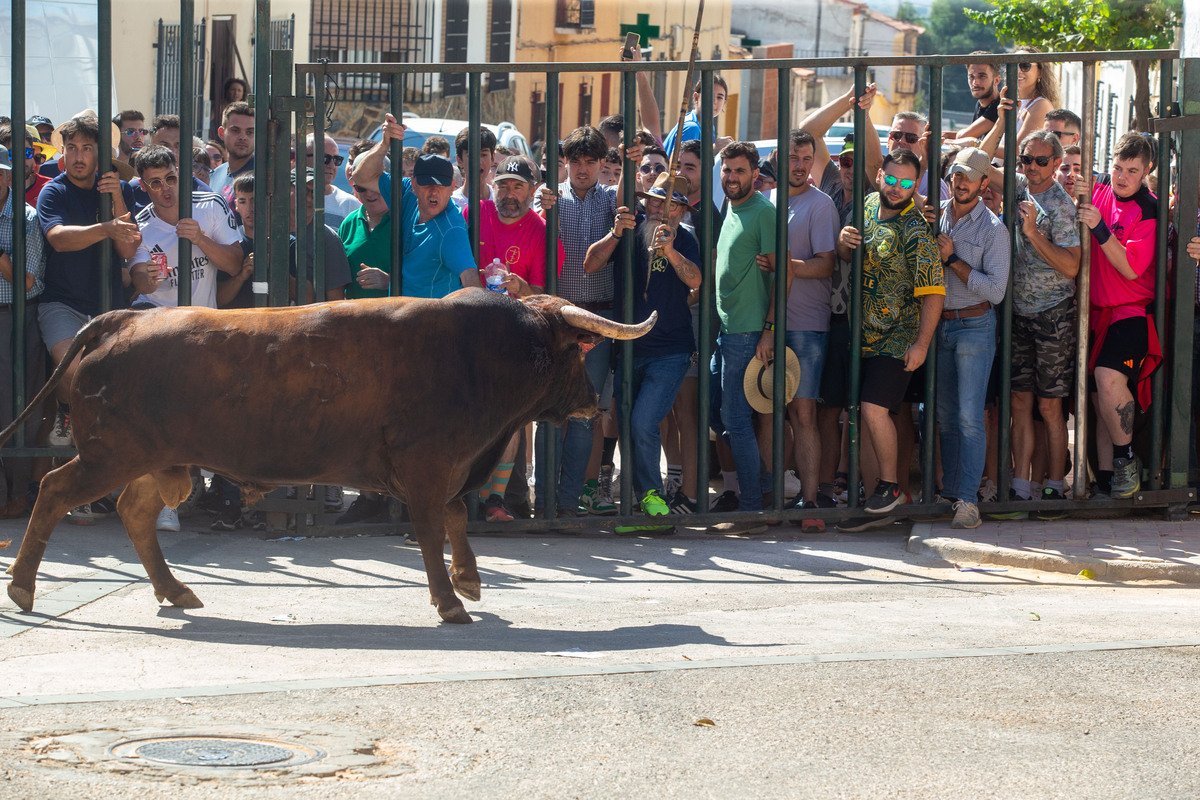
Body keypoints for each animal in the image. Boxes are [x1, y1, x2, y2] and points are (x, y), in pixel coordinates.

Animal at [2, 293, 657, 623]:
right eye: (578, 352)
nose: (592, 401)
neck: (484, 349)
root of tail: (124, 319)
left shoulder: (443, 468)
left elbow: (452, 518)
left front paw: (468, 581)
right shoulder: (427, 465)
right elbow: (431, 525)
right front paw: (449, 601)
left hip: (157, 464)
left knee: (135, 514)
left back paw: (176, 591)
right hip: (111, 455)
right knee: (55, 492)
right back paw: (25, 590)